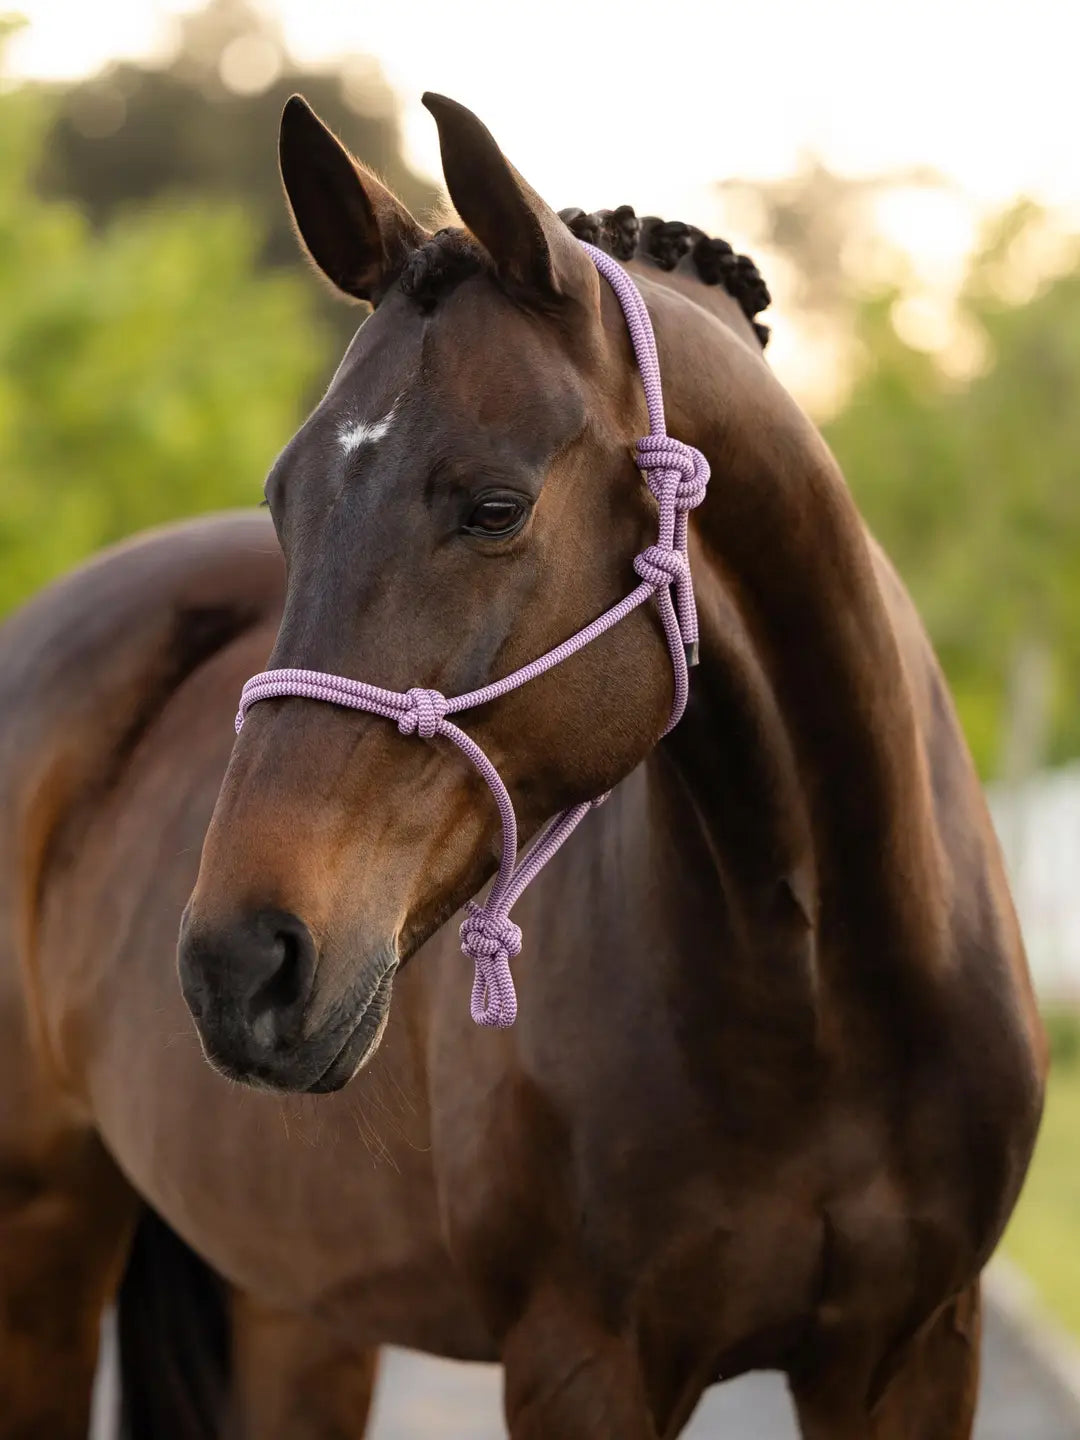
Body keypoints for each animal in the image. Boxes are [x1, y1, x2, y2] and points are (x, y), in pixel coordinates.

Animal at [0, 92, 1046, 1439]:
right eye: (285, 502)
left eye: (494, 508)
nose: (240, 963)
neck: (823, 993)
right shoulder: (578, 1360)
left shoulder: (912, 1352)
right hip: (45, 1249)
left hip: (292, 1303)